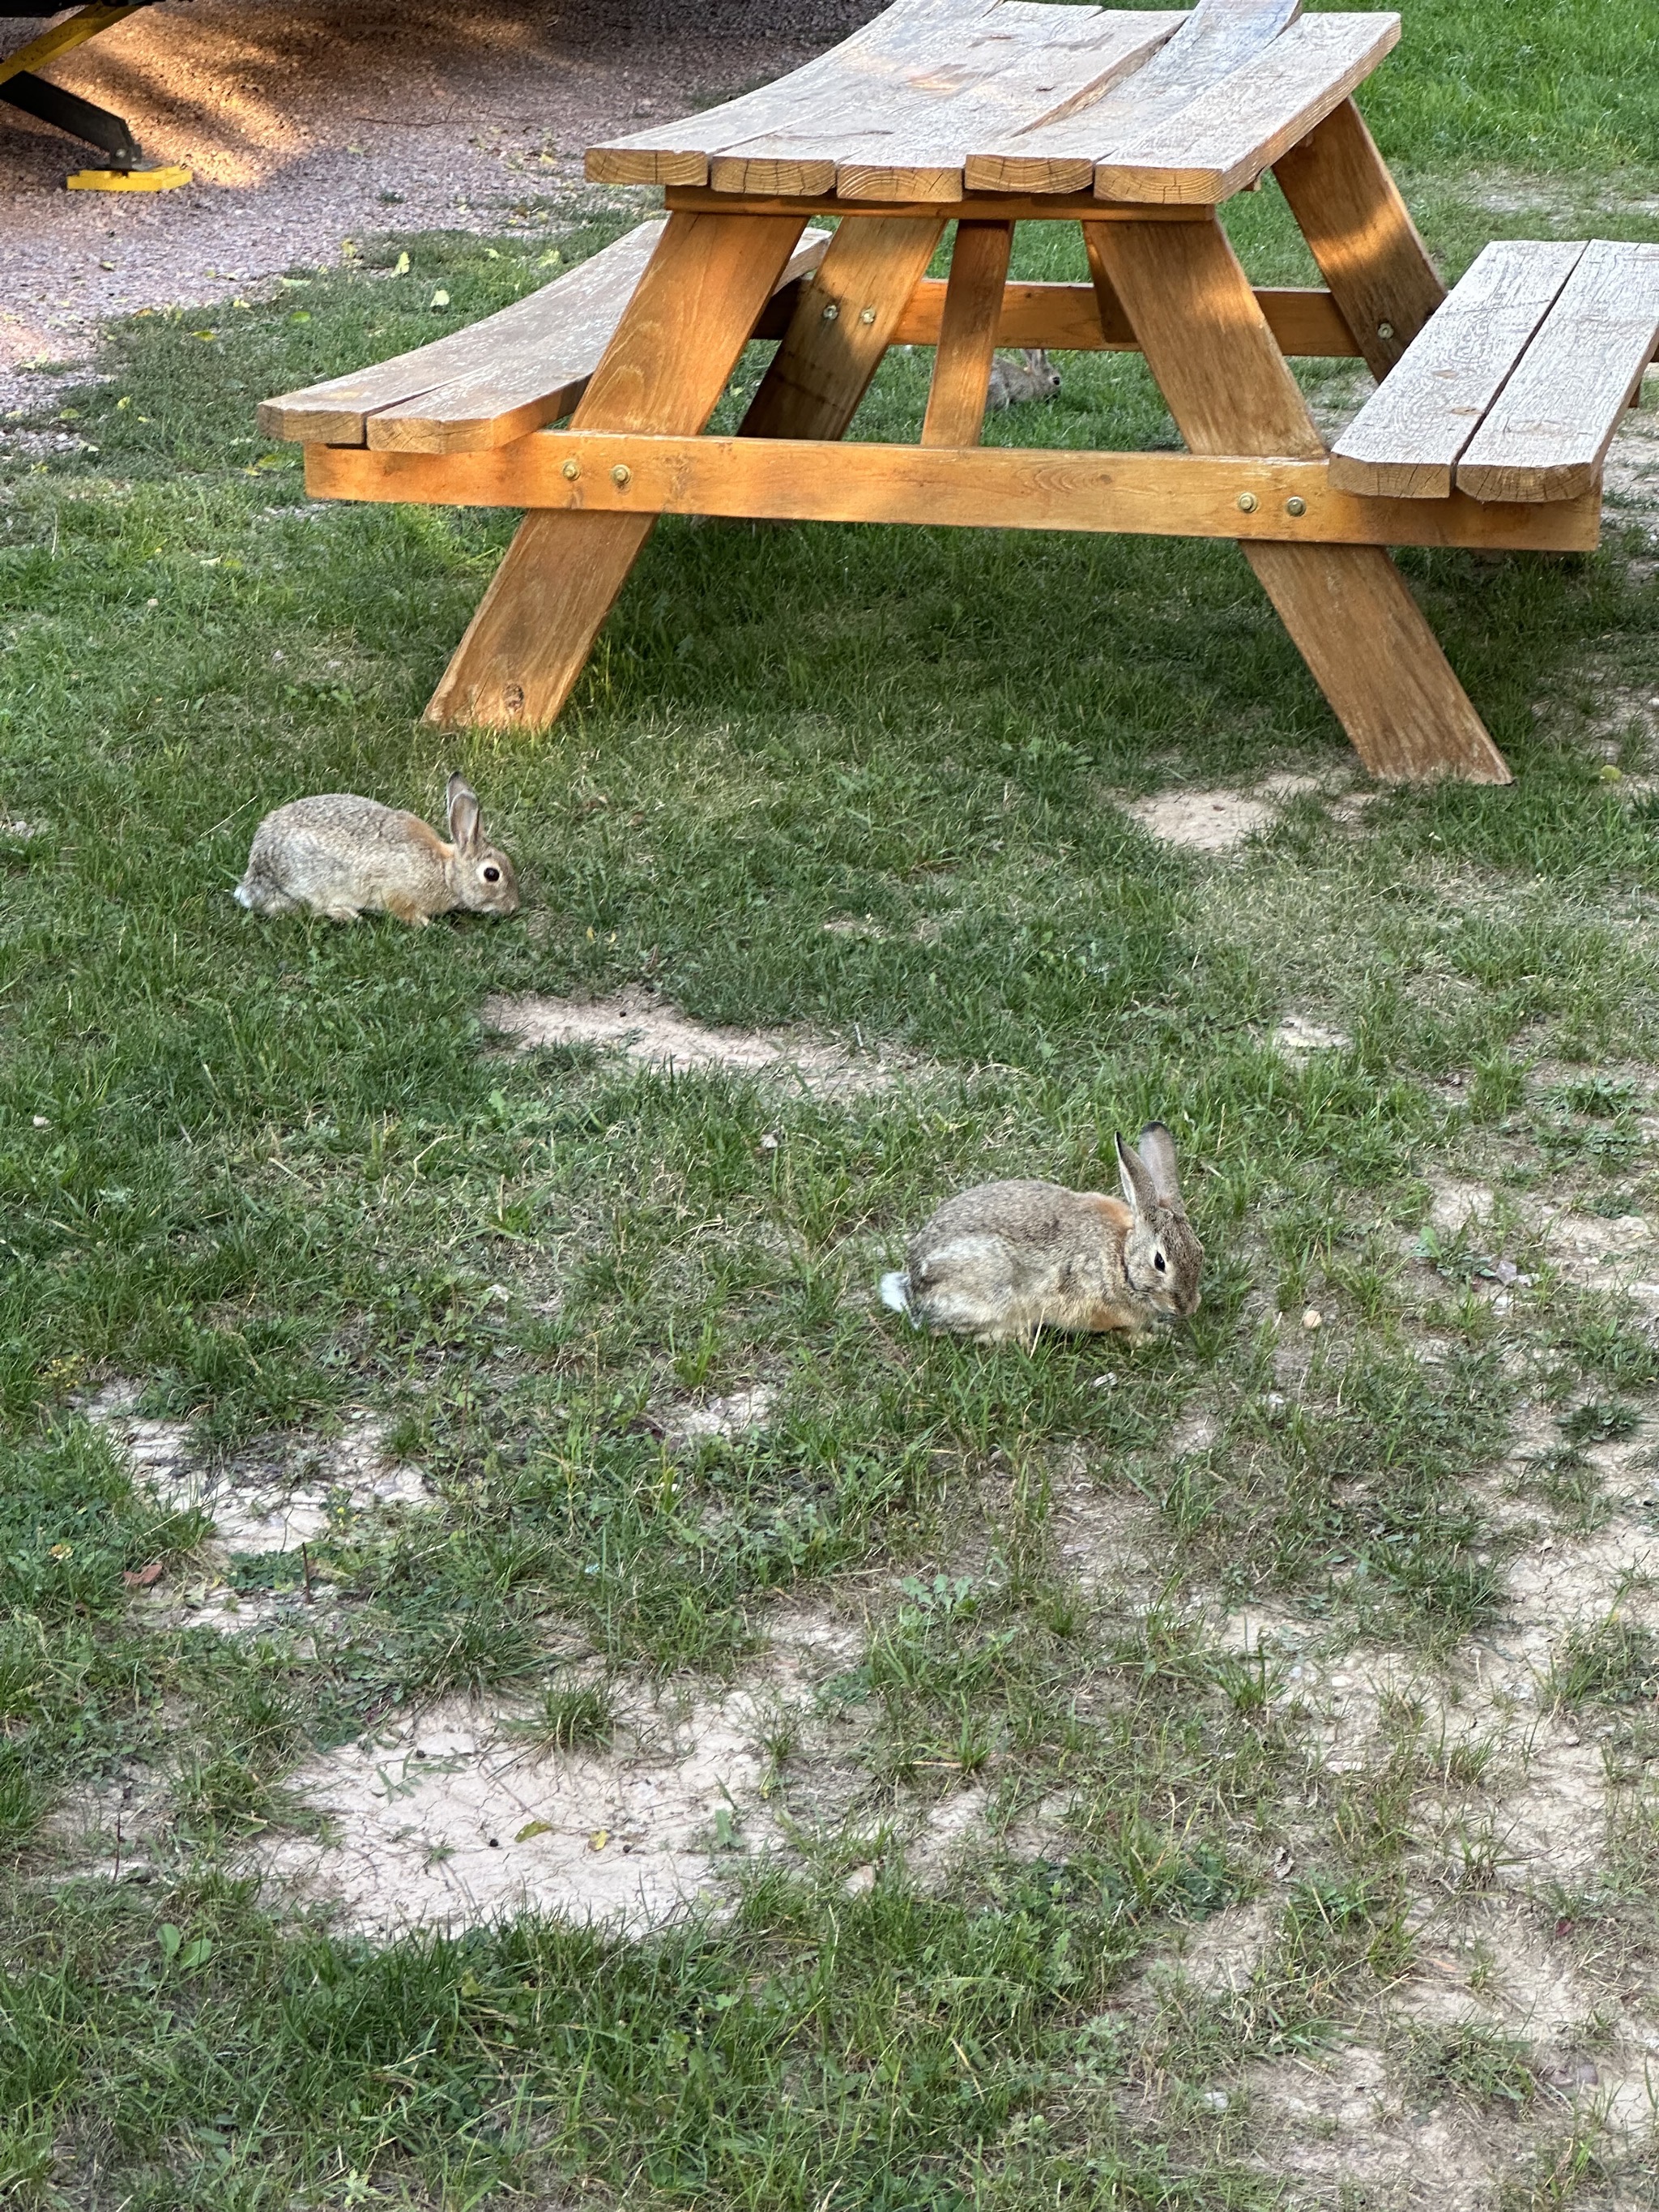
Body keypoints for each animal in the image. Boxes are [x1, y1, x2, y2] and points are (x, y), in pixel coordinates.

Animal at [234, 773, 518, 926]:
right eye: (492, 874)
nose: (513, 906)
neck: (445, 872)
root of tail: (255, 876)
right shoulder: (395, 891)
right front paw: (424, 923)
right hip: (308, 886)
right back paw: (345, 914)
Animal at [880, 1123, 1202, 1345]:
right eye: (1160, 1262)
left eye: (1200, 1252)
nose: (1187, 1307)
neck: (1122, 1259)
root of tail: (913, 1293)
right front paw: (1151, 1339)